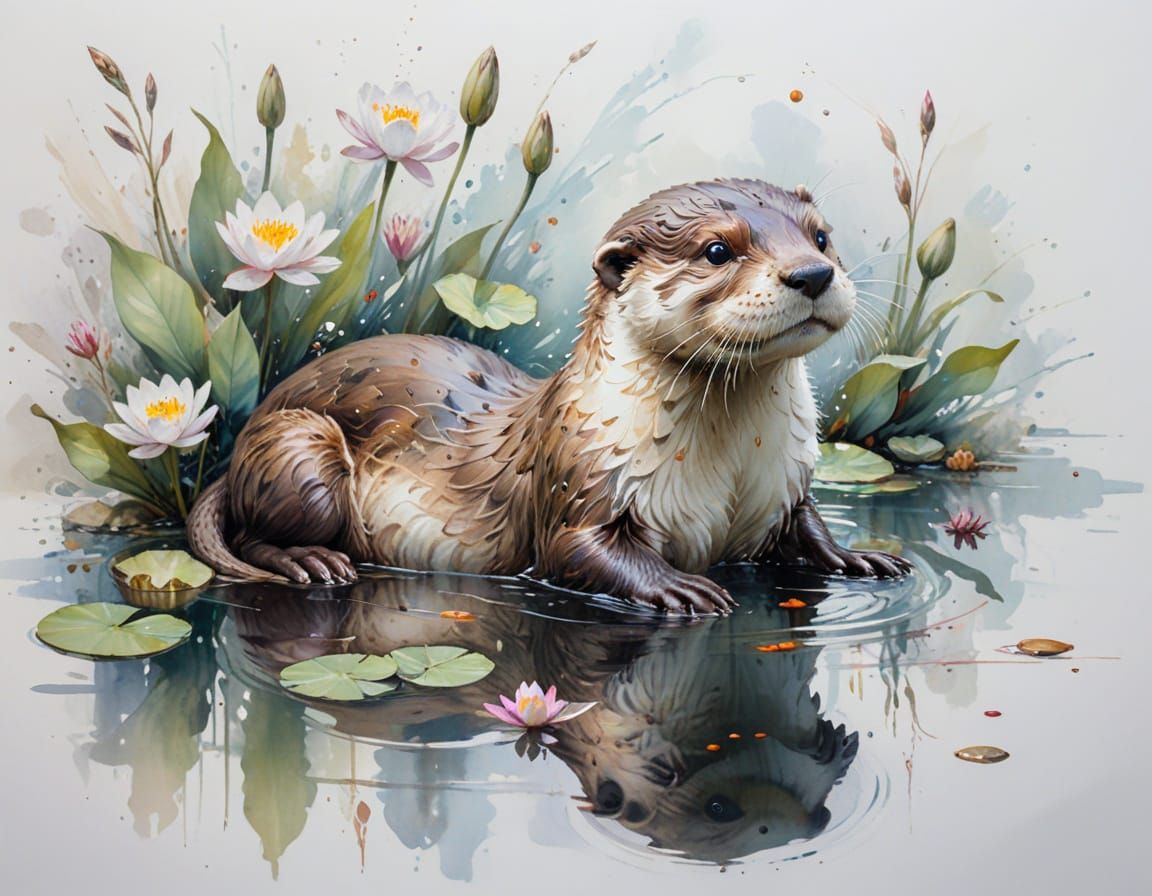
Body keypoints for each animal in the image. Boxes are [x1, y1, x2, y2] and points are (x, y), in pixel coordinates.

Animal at [188, 178, 909, 614]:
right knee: (251, 534)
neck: (728, 470)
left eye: (821, 236)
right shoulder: (577, 477)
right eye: (715, 251)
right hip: (299, 448)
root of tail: (250, 433)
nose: (812, 273)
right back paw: (310, 560)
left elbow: (806, 527)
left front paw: (859, 556)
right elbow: (577, 551)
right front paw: (679, 584)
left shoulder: (786, 482)